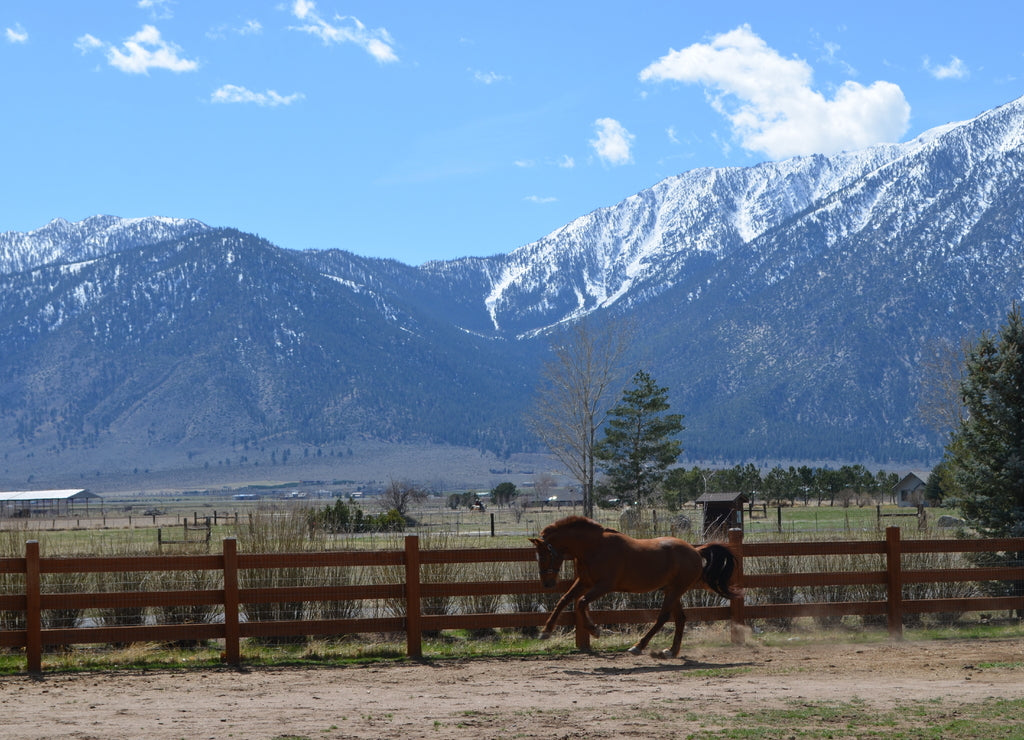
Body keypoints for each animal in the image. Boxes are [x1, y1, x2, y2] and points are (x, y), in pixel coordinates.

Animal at [529, 515, 741, 658]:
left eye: (545, 554)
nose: (547, 583)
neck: (594, 547)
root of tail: (696, 551)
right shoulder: (584, 582)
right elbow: (564, 600)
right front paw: (546, 631)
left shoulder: (604, 586)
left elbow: (580, 602)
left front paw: (594, 630)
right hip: (671, 590)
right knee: (680, 618)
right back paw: (671, 651)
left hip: (675, 590)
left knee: (663, 617)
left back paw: (638, 646)